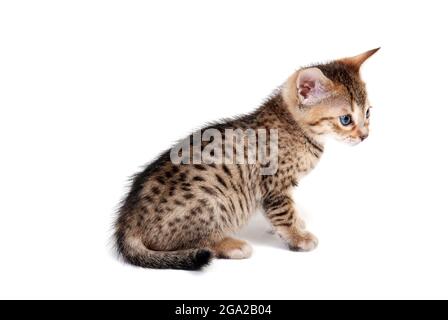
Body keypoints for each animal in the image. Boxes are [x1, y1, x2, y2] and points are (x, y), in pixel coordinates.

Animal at [113, 48, 378, 270]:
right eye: (346, 119)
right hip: (212, 202)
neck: (293, 125)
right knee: (194, 242)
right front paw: (297, 237)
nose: (365, 136)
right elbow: (284, 213)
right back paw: (231, 245)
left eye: (368, 113)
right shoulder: (275, 186)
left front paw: (295, 224)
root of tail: (127, 223)